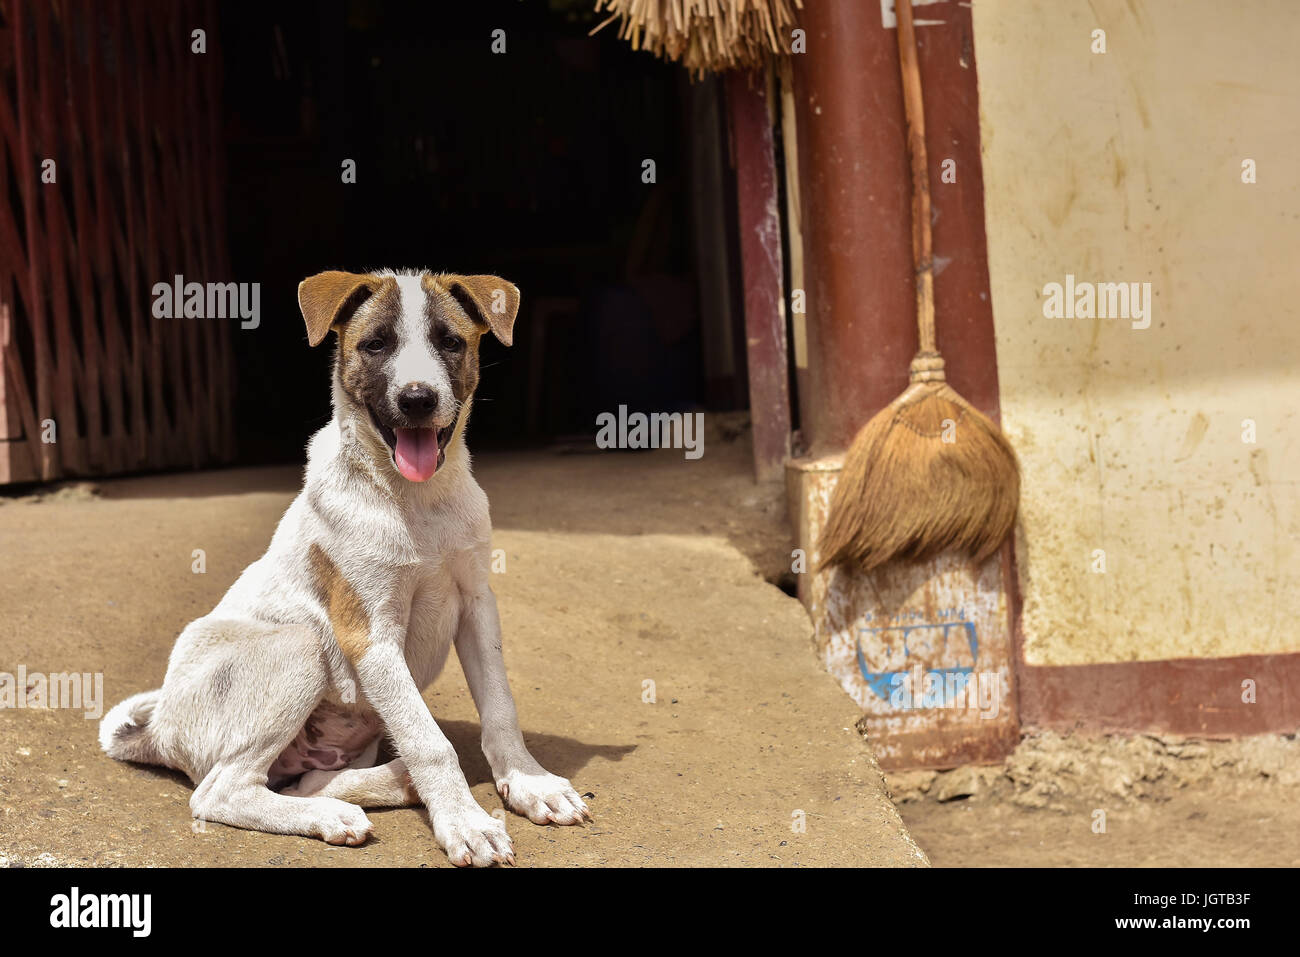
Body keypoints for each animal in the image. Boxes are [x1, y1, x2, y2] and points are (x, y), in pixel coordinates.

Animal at [101, 265, 590, 863]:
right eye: (375, 345)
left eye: (450, 342)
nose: (417, 399)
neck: (416, 499)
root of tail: (159, 730)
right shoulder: (370, 635)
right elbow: (431, 743)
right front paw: (465, 821)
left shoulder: (478, 605)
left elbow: (500, 706)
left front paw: (528, 782)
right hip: (300, 647)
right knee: (222, 791)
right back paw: (334, 814)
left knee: (304, 778)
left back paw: (383, 786)